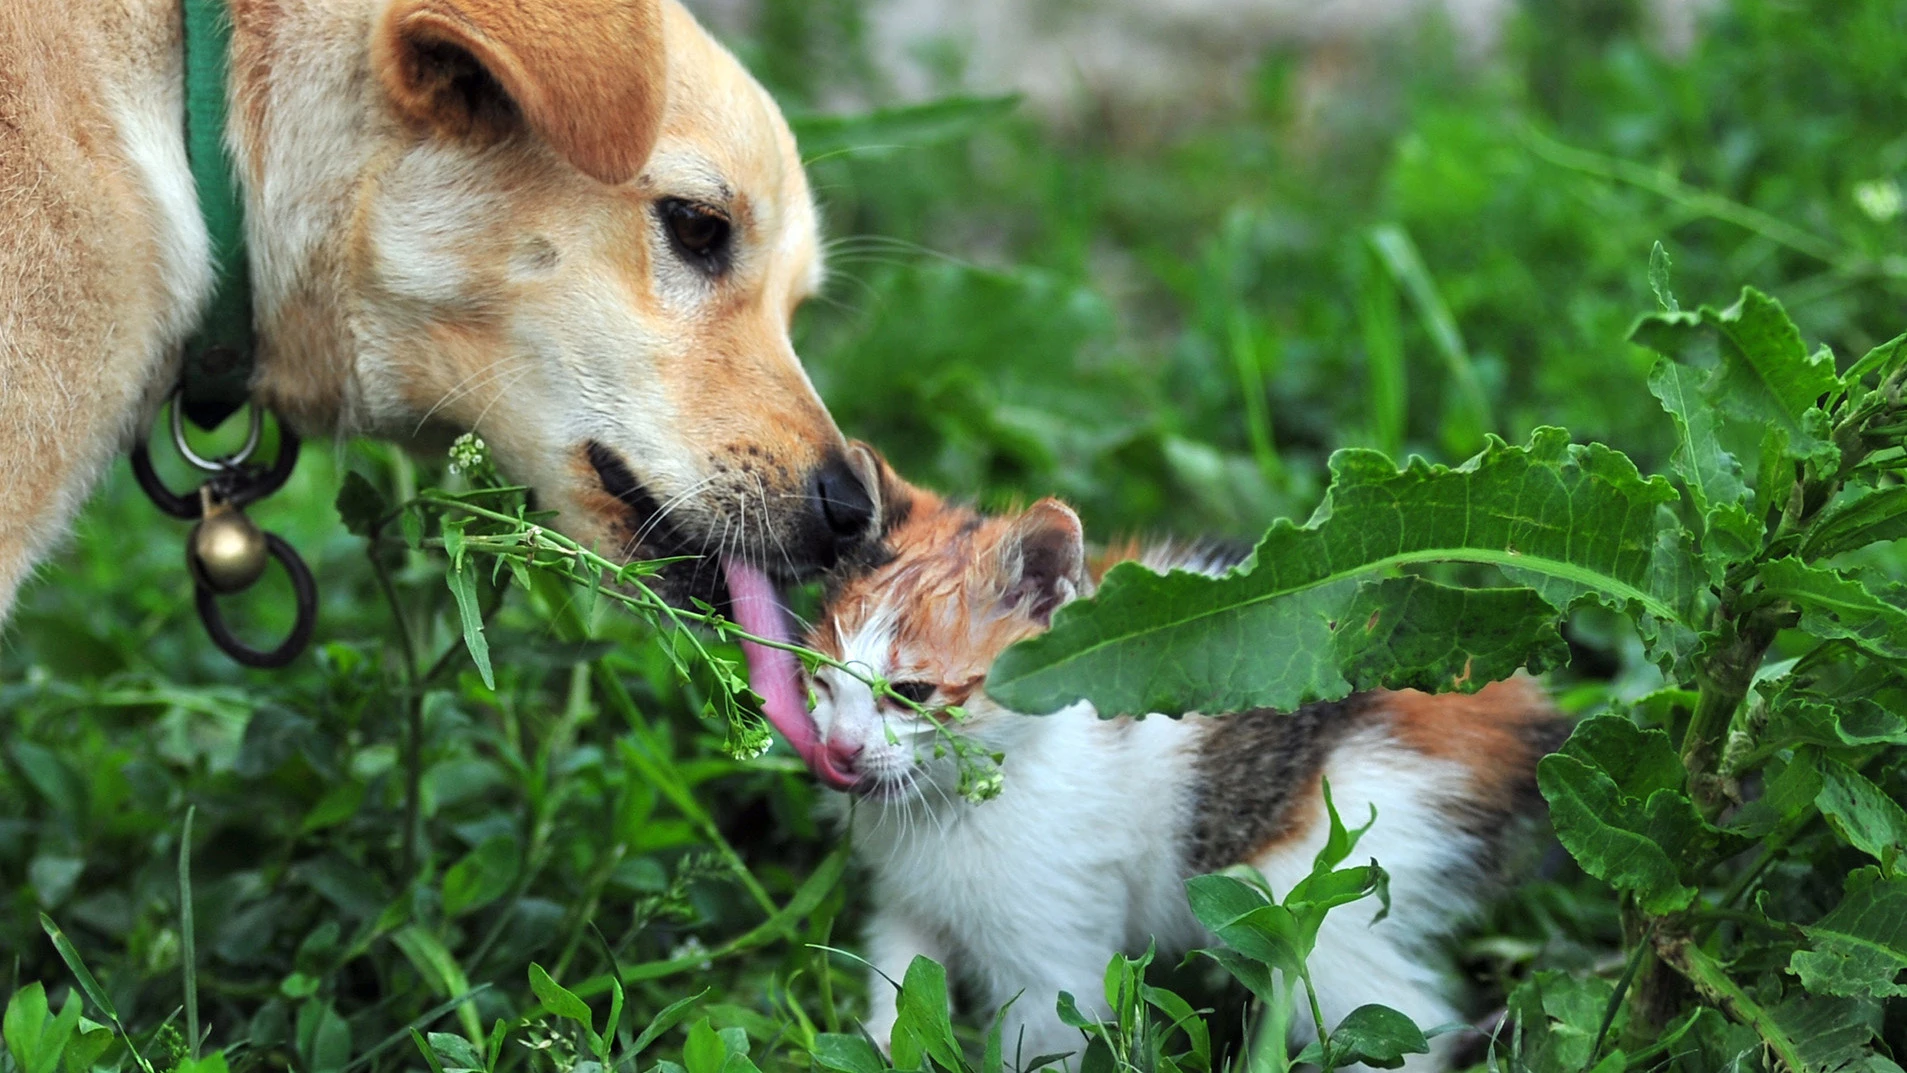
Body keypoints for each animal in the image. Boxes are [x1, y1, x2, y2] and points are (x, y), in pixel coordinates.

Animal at [804, 457, 1563, 1067]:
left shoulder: (1054, 939)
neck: (959, 801)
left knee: (1402, 1023)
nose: (838, 749)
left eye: (910, 694)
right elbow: (902, 982)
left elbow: (1044, 1038)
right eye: (821, 682)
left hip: (1324, 888)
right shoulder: (907, 901)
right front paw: (880, 1045)